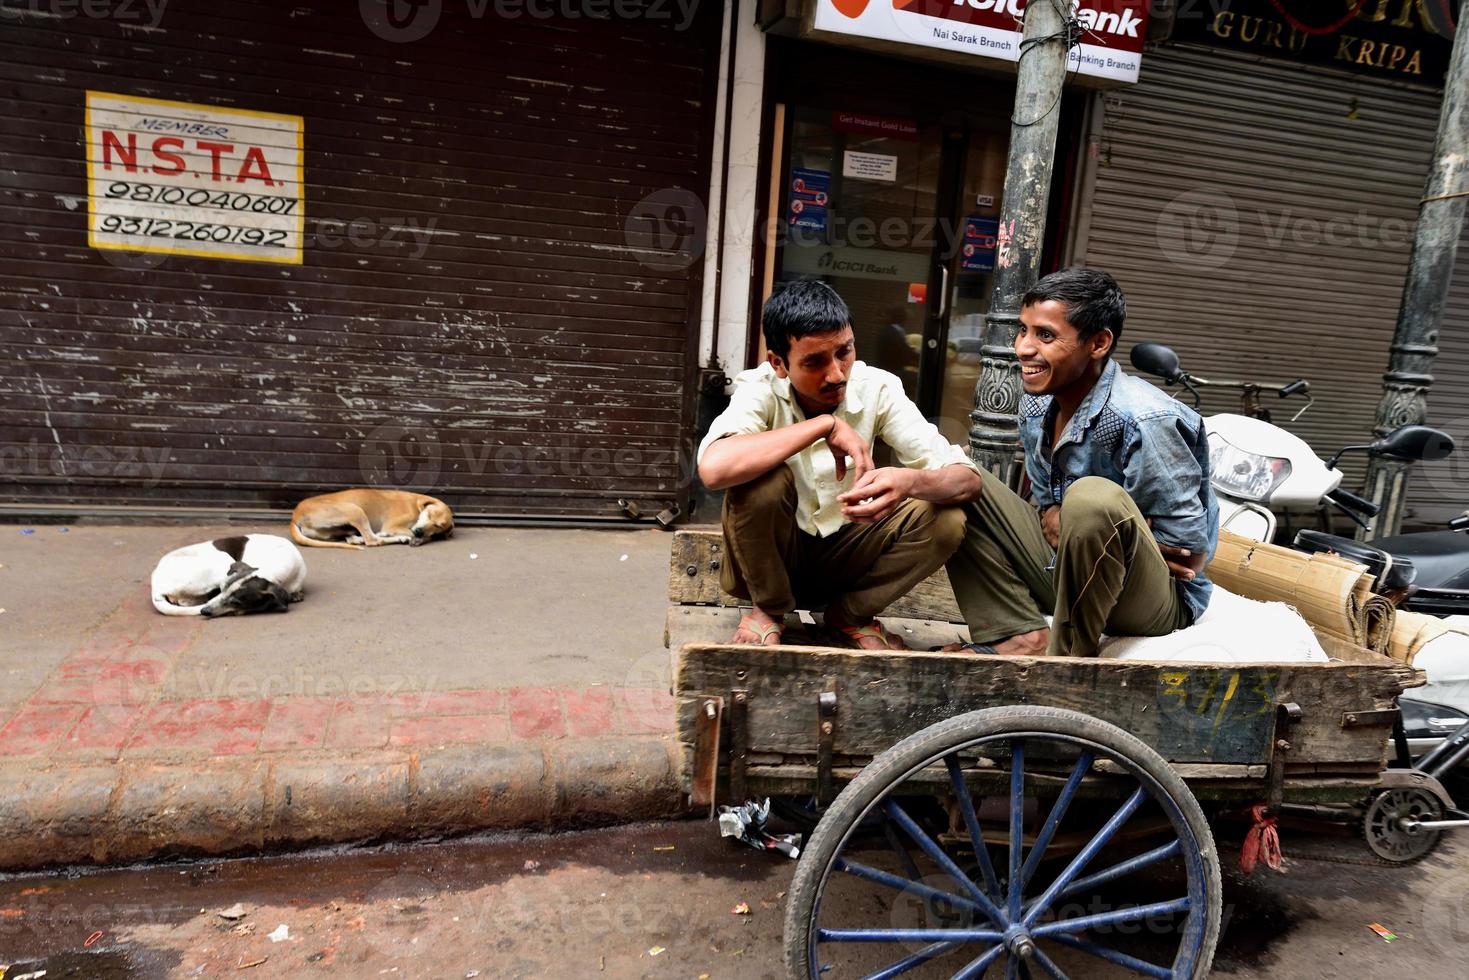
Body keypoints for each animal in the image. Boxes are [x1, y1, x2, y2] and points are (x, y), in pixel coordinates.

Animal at [150, 531, 305, 617]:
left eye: (236, 602)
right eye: (221, 589)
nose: (204, 611)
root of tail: (156, 586)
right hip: (222, 560)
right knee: (185, 601)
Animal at [284, 490, 446, 552]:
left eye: (438, 526)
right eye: (429, 515)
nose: (419, 531)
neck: (416, 503)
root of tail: (295, 516)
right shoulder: (392, 525)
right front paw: (418, 538)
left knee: (352, 538)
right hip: (355, 510)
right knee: (372, 540)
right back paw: (398, 538)